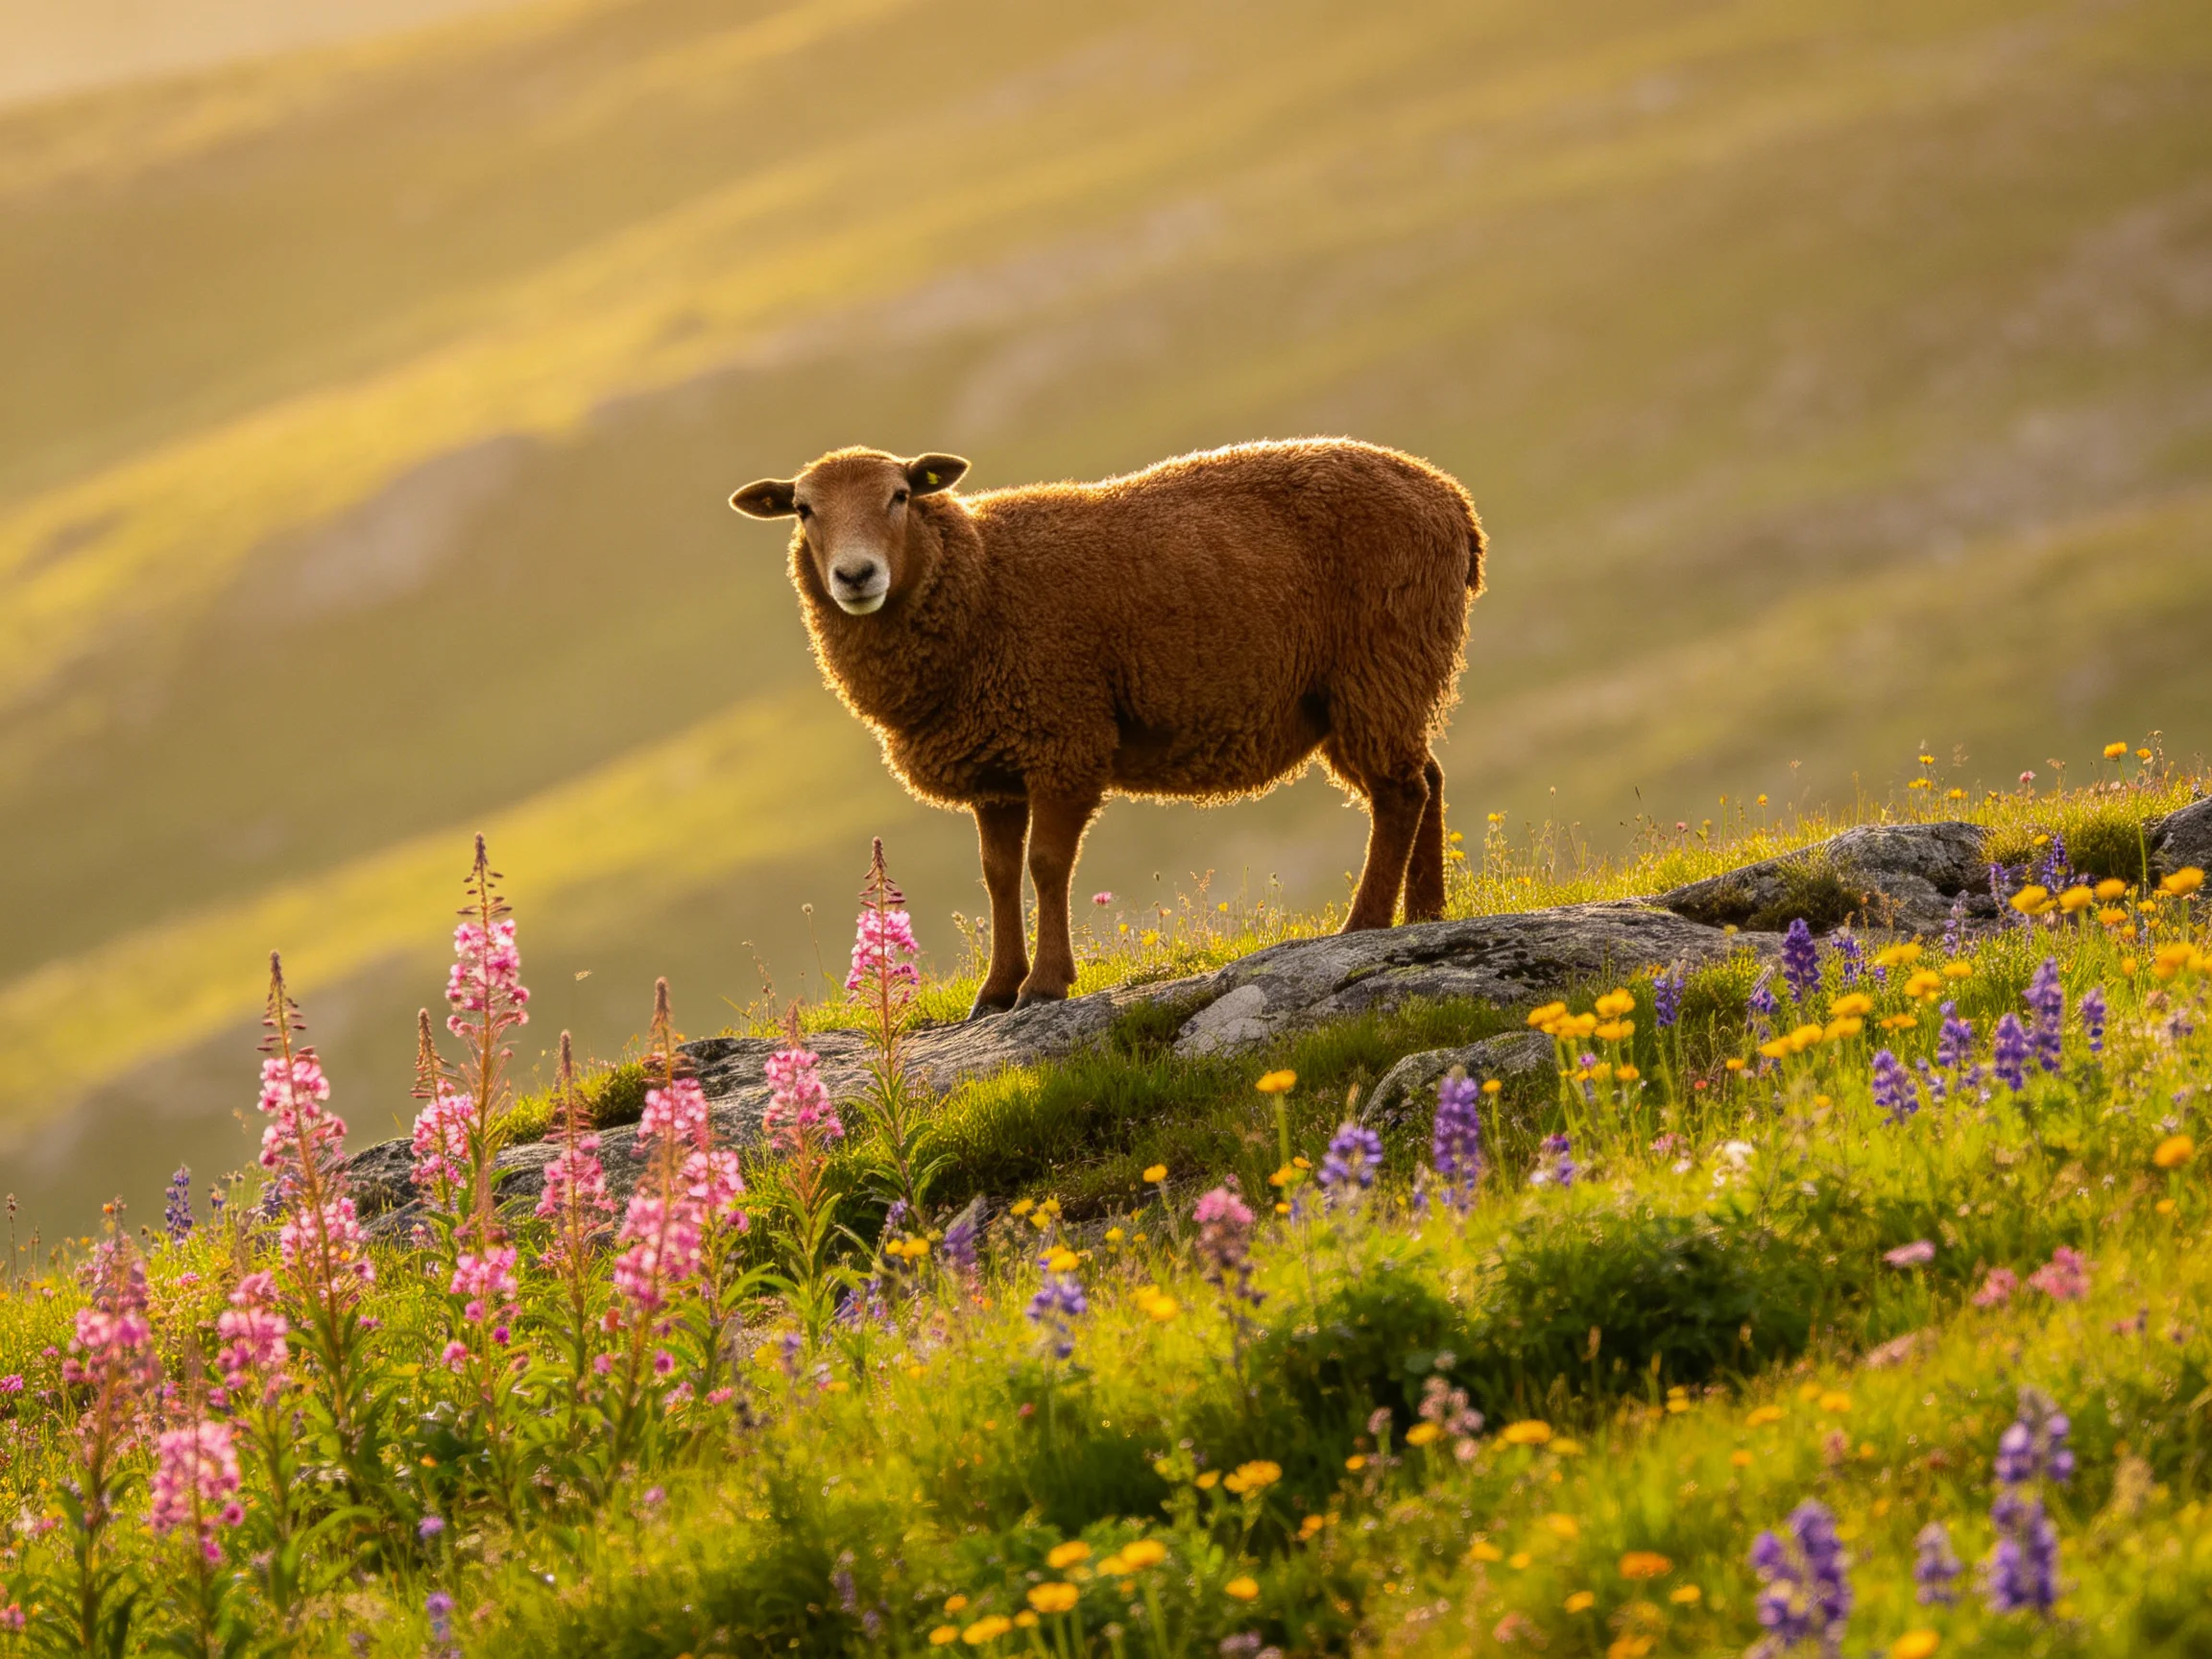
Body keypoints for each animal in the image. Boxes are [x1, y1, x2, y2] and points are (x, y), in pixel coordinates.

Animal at [730, 439, 1486, 1018]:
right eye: (803, 509)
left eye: (899, 496)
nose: (855, 576)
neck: (980, 576)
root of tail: (1452, 499)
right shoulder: (993, 766)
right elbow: (997, 876)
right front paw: (995, 991)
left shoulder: (1063, 737)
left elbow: (1046, 865)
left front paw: (1043, 986)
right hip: (1375, 684)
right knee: (1425, 776)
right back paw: (1427, 916)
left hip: (1380, 661)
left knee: (1399, 794)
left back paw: (1364, 925)